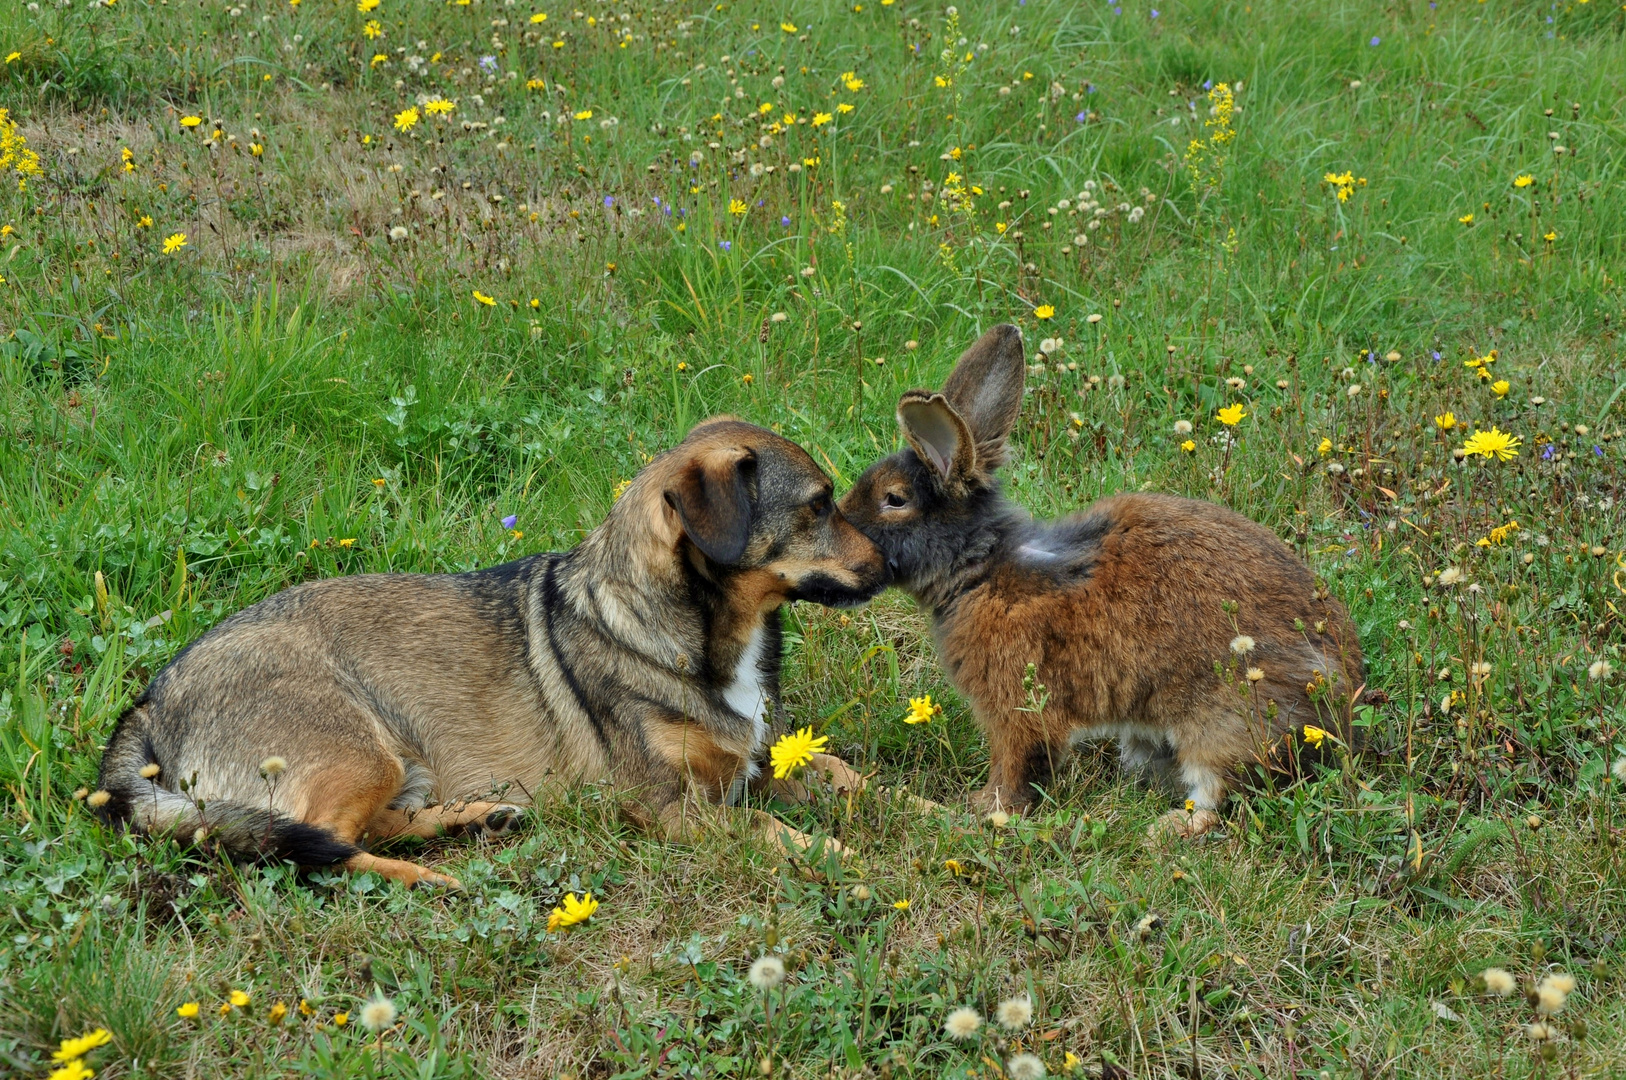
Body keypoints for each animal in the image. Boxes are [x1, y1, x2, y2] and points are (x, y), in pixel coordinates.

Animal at [95, 416, 891, 884]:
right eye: (818, 507)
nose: (895, 559)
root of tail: (152, 698)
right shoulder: (674, 810)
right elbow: (773, 829)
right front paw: (856, 860)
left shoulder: (763, 758)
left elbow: (854, 777)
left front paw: (914, 812)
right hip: (355, 747)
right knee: (317, 843)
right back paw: (432, 875)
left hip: (397, 760)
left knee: (363, 826)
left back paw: (479, 817)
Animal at [839, 325, 1359, 839]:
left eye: (894, 499)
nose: (840, 520)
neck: (980, 570)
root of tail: (1337, 709)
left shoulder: (1016, 710)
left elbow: (1016, 763)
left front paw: (986, 810)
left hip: (1223, 722)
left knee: (1220, 793)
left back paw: (1167, 827)